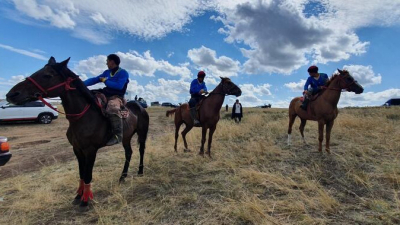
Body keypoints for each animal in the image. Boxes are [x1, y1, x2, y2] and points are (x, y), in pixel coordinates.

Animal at [5, 56, 149, 211]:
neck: (82, 116)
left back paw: (140, 171)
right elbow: (81, 173)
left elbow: (88, 174)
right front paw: (78, 196)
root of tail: (140, 106)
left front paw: (85, 201)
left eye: (48, 75)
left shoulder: (91, 150)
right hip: (126, 137)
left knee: (141, 150)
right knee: (128, 153)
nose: (12, 94)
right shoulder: (77, 149)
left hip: (142, 134)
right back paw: (122, 177)